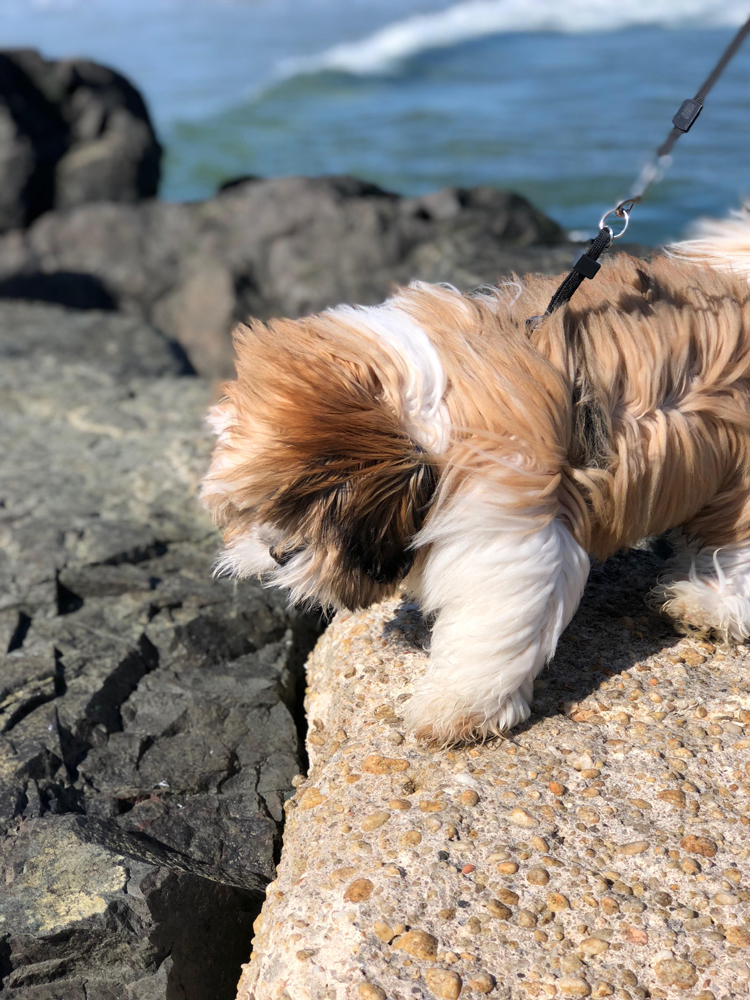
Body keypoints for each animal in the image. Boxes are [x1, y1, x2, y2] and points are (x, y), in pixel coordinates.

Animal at [200, 209, 750, 744]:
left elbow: (491, 625)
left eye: (302, 502)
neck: (430, 420)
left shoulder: (513, 524)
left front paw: (455, 708)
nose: (275, 552)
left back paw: (710, 605)